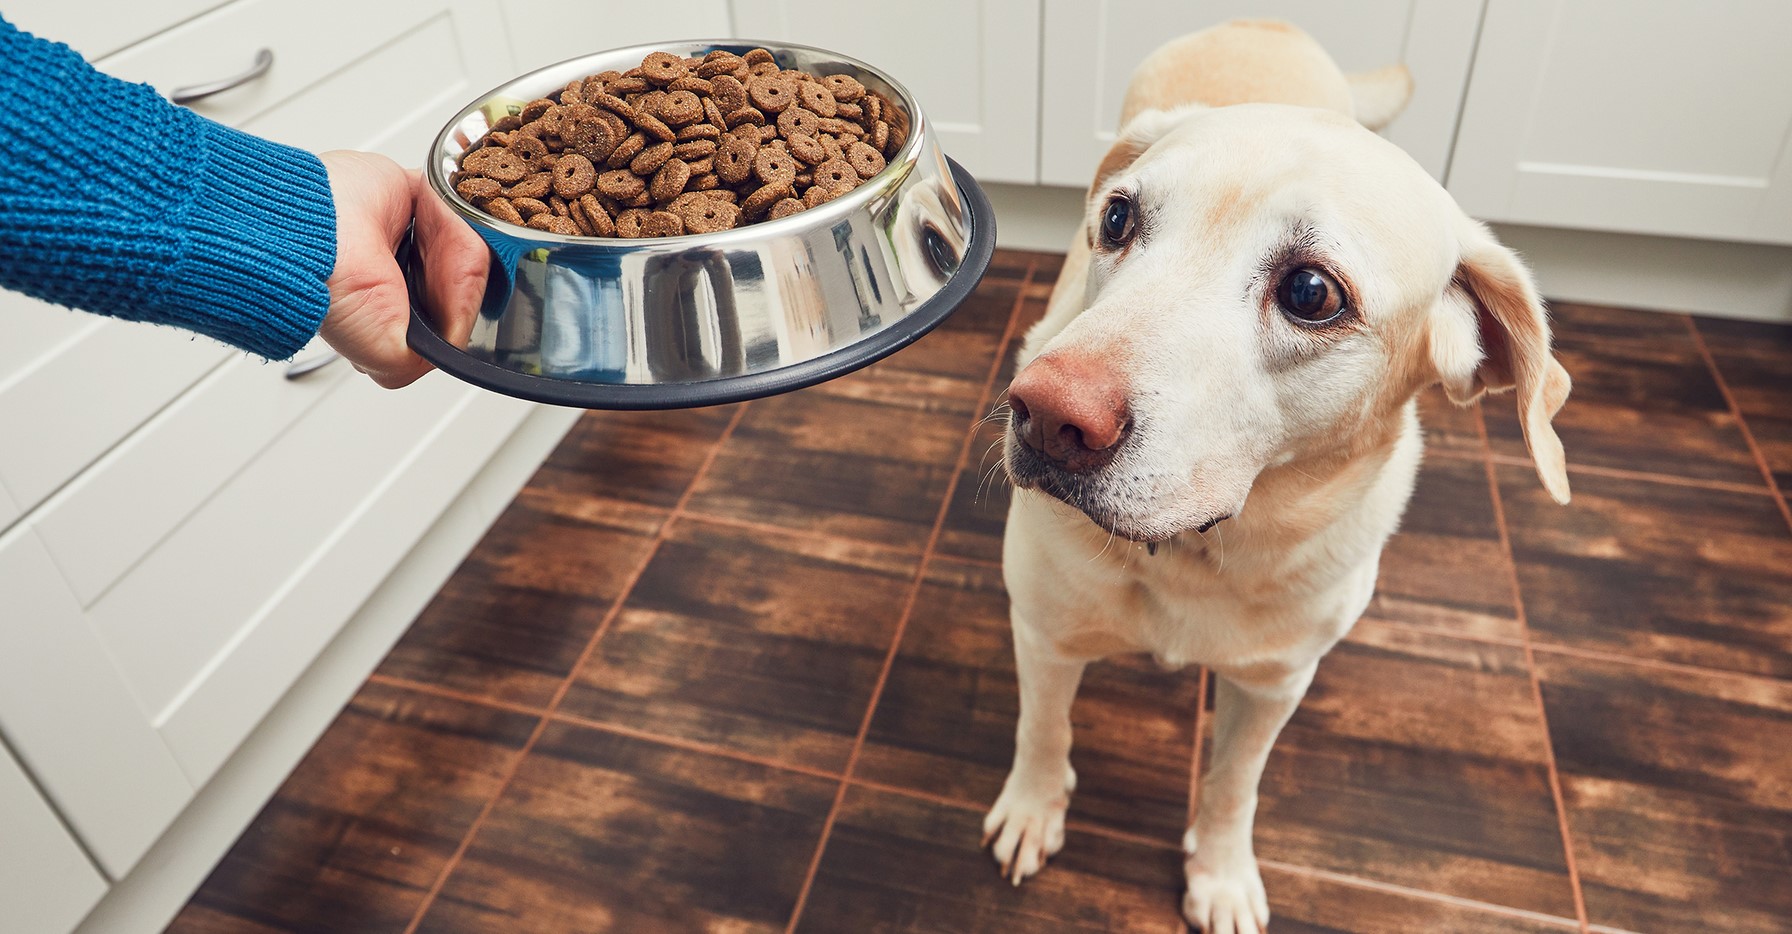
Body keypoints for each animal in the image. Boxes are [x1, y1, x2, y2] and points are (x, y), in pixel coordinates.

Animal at [982, 18, 1569, 925]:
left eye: (1310, 292)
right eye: (1117, 218)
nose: (1045, 414)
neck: (1197, 554)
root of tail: (1263, 23)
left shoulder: (1273, 686)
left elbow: (1234, 786)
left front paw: (1221, 876)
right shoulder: (1045, 632)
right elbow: (1043, 731)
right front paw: (1032, 808)